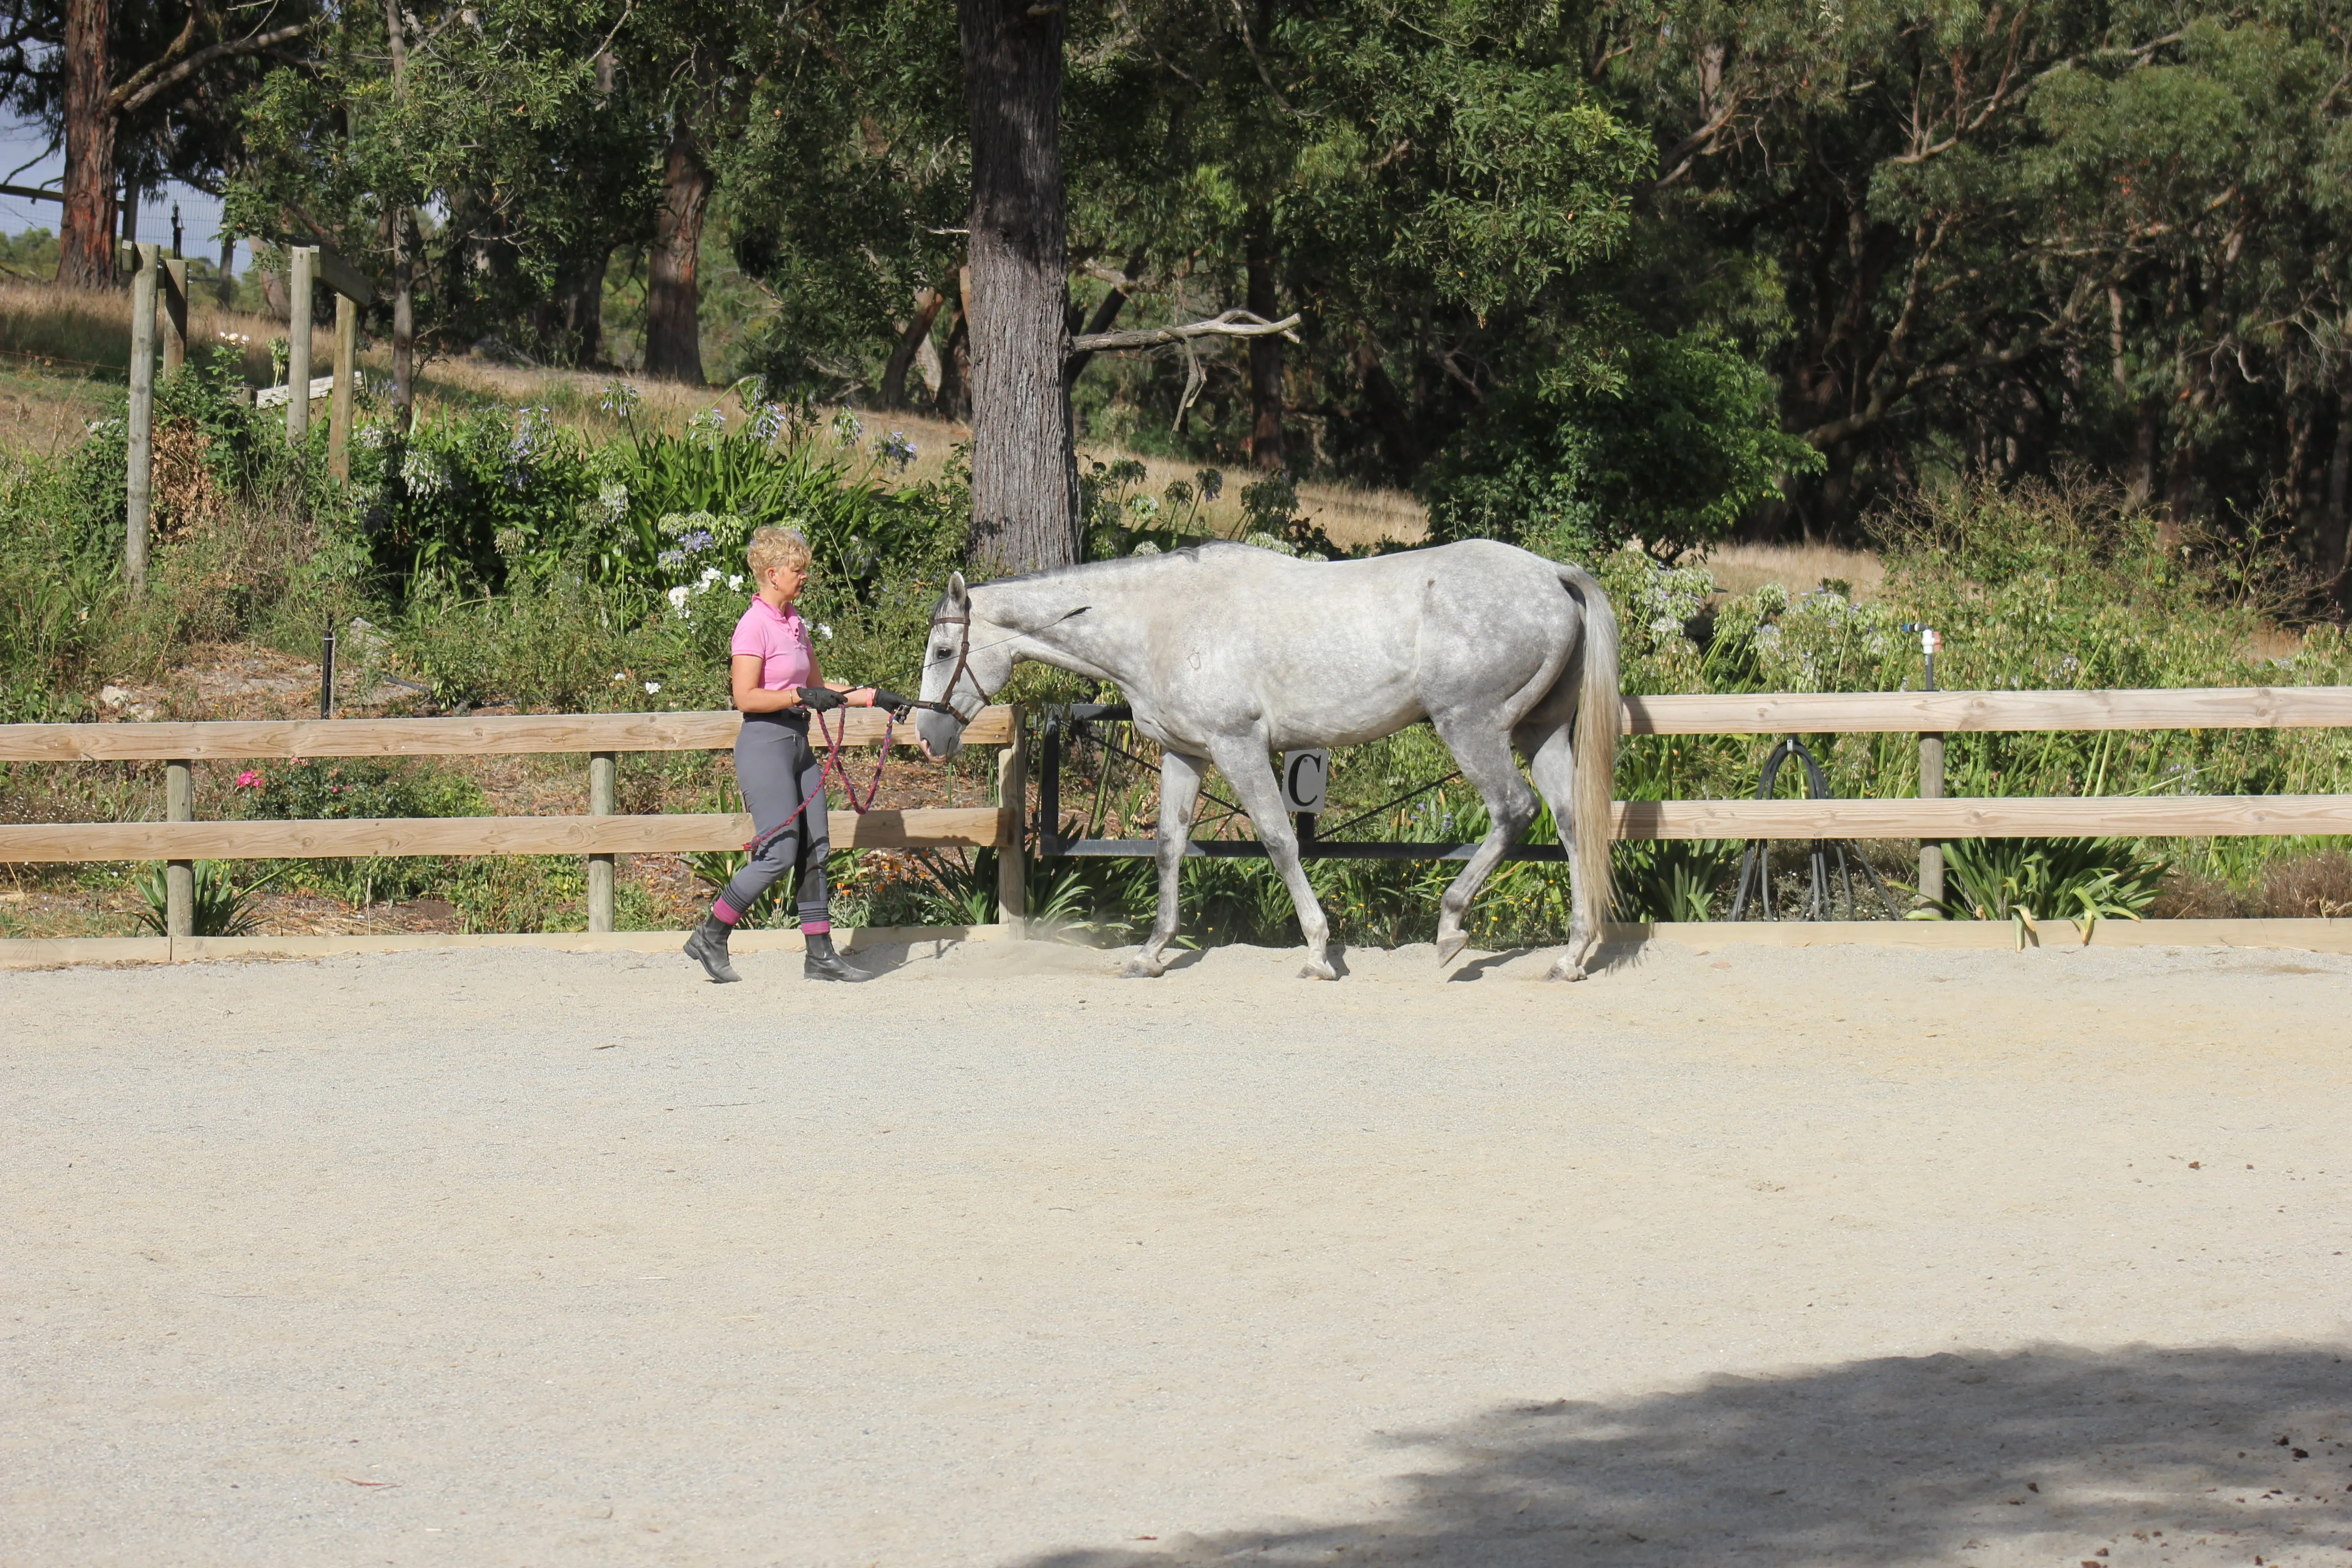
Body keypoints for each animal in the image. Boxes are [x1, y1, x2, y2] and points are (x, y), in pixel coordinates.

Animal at [917, 540, 1618, 982]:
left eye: (946, 650)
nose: (927, 733)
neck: (1161, 620)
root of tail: (1553, 574)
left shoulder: (1239, 747)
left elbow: (1280, 842)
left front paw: (1317, 952)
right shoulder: (1185, 753)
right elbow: (1168, 847)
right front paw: (1152, 953)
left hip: (1471, 727)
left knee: (1513, 812)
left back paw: (1449, 931)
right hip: (1540, 732)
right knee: (1571, 825)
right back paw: (1571, 957)